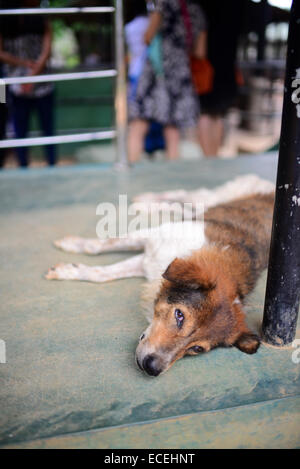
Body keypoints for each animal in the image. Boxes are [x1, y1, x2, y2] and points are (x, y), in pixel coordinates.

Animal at [46, 176, 274, 376]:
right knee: (185, 195)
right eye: (179, 316)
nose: (152, 368)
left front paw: (70, 268)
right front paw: (73, 248)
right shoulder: (152, 238)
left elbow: (102, 274)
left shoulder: (149, 264)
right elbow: (98, 247)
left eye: (197, 349)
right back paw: (146, 199)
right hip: (213, 196)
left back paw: (146, 204)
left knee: (183, 206)